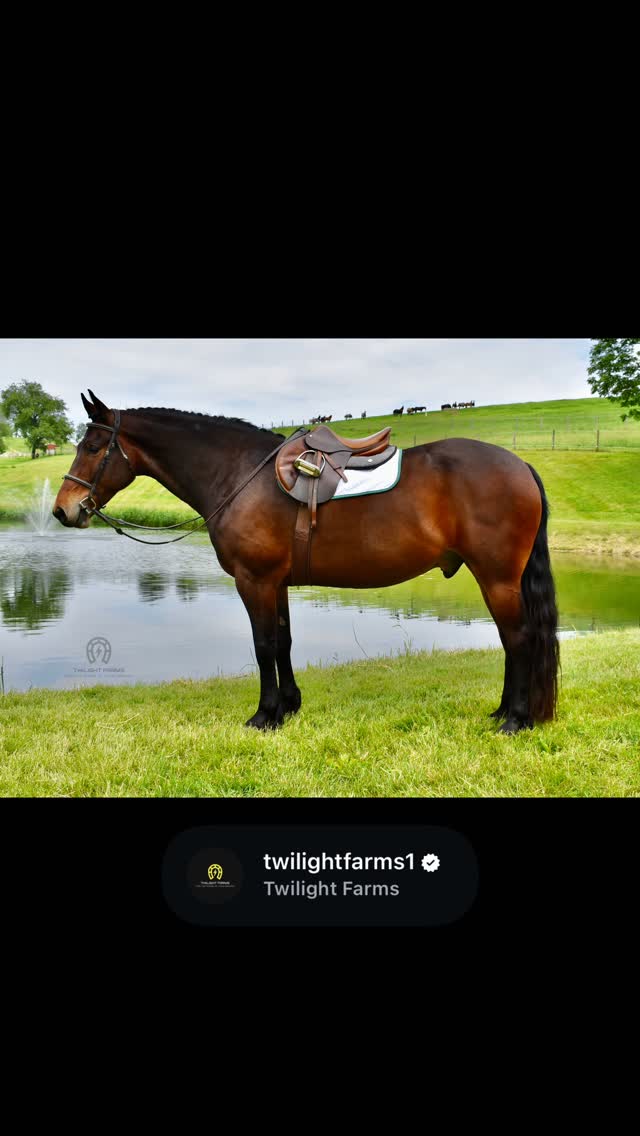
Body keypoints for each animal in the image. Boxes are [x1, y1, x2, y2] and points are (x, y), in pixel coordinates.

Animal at [53, 391, 559, 735]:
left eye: (93, 448)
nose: (63, 509)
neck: (240, 475)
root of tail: (520, 466)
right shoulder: (274, 583)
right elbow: (284, 642)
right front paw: (289, 707)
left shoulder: (253, 581)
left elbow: (263, 646)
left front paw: (264, 715)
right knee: (512, 641)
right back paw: (503, 711)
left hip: (497, 579)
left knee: (518, 639)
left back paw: (515, 719)